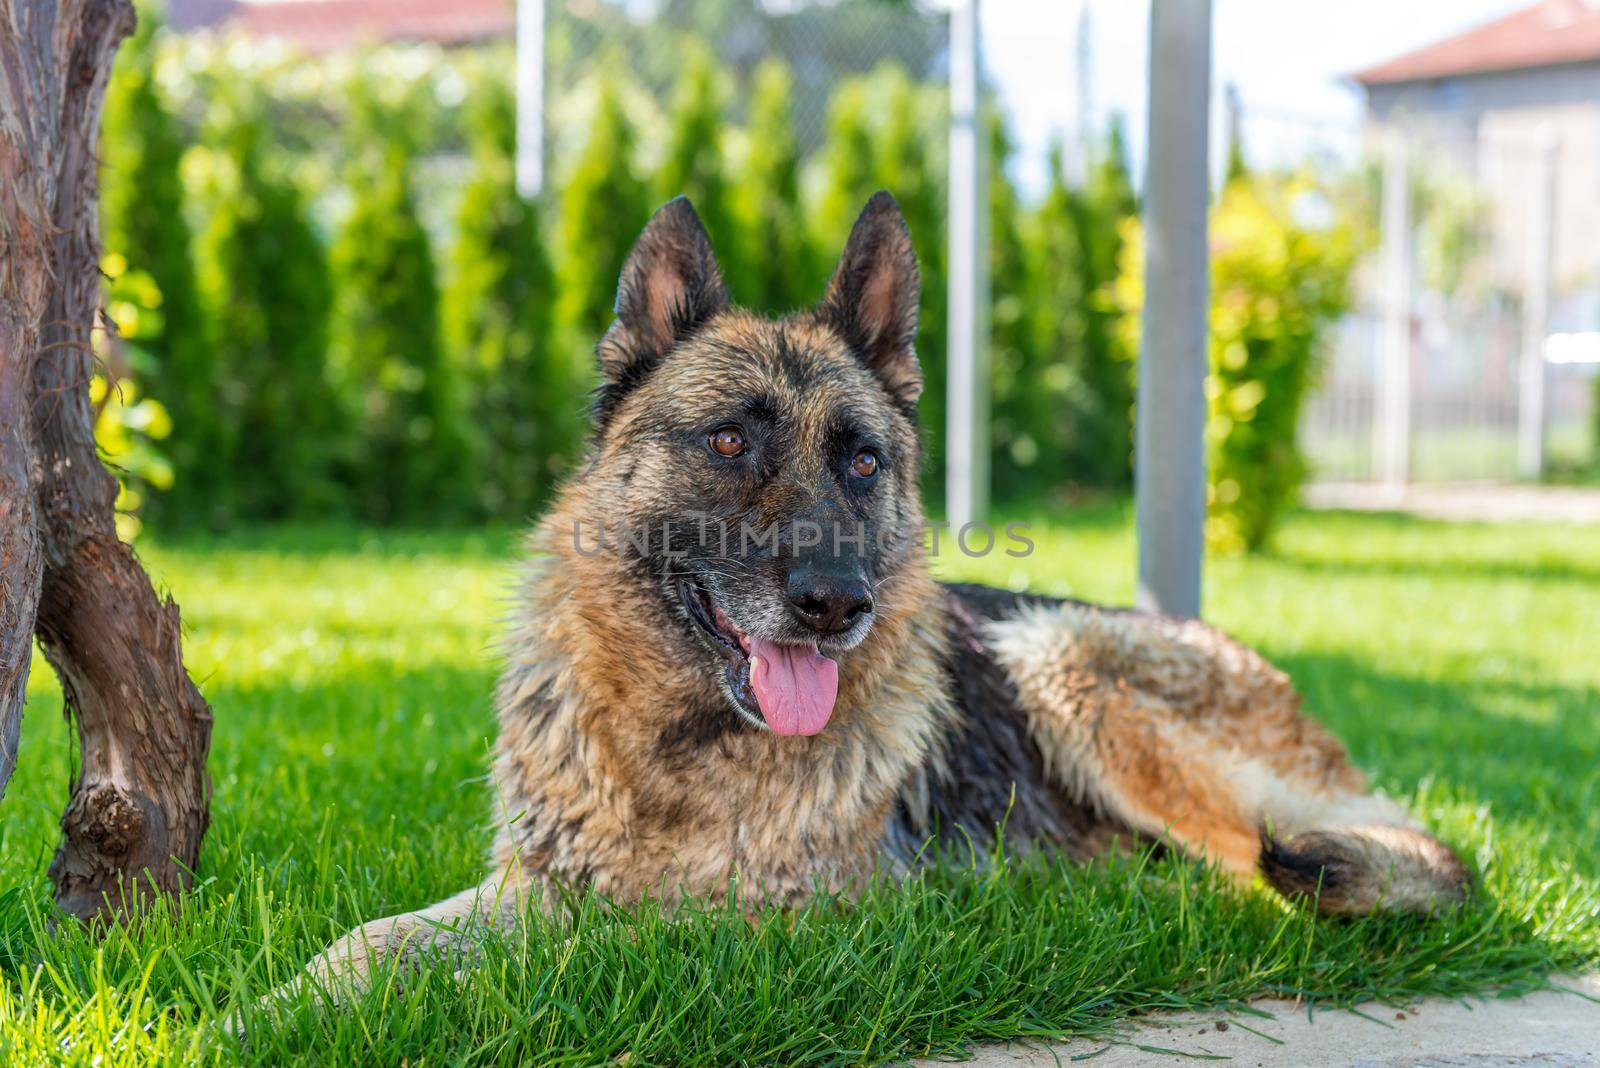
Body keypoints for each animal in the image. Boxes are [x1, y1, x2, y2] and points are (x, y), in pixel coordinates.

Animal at [268, 194, 1465, 1010]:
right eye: (728, 441)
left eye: (860, 462)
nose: (834, 603)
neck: (677, 748)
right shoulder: (524, 880)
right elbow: (381, 938)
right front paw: (295, 1001)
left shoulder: (778, 921)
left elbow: (585, 942)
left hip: (1061, 658)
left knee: (1260, 865)